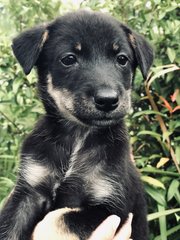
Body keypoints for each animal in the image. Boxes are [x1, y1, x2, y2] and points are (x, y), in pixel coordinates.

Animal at [0, 10, 153, 240]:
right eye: (69, 59)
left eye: (122, 59)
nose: (108, 100)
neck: (78, 135)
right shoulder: (28, 192)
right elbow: (9, 227)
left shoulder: (112, 207)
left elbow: (59, 218)